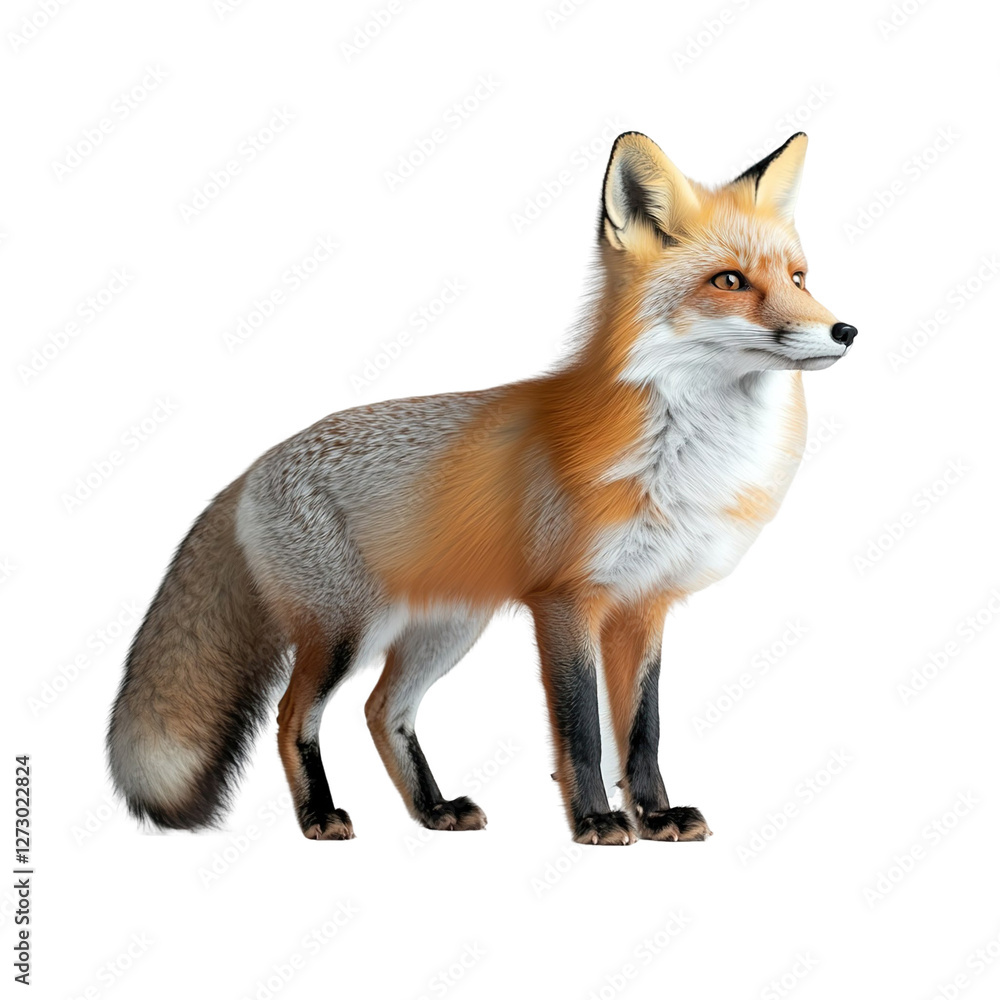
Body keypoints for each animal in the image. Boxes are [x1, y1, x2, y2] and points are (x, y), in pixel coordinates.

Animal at [107, 130, 857, 846]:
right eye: (729, 280)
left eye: (799, 277)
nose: (845, 329)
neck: (678, 461)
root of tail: (251, 467)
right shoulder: (566, 602)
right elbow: (582, 732)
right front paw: (596, 822)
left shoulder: (644, 605)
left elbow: (641, 733)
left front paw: (656, 816)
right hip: (344, 630)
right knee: (295, 715)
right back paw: (320, 814)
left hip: (446, 629)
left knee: (383, 710)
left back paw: (433, 809)